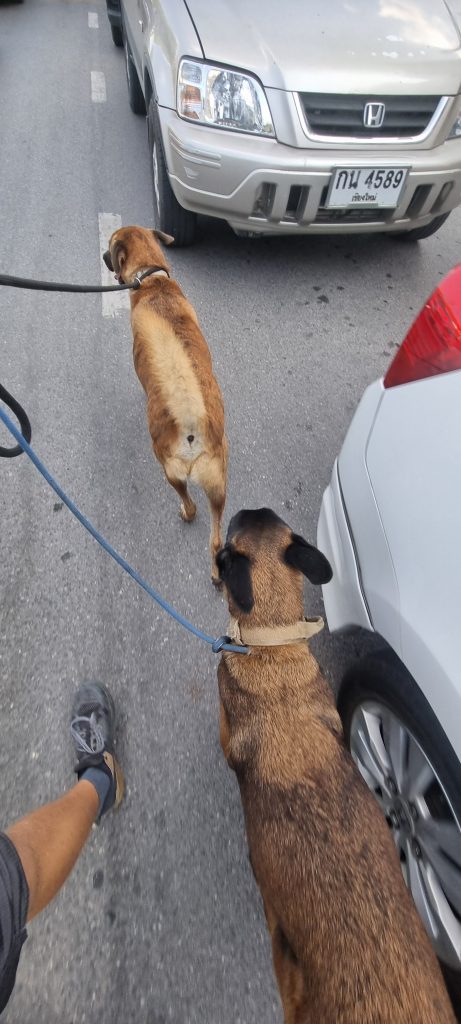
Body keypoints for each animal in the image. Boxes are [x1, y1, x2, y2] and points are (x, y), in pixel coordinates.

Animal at [103, 226, 227, 583]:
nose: (103, 257)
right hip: (218, 485)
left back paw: (186, 512)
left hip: (171, 472)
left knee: (190, 503)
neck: (152, 281)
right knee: (215, 538)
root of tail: (190, 423)